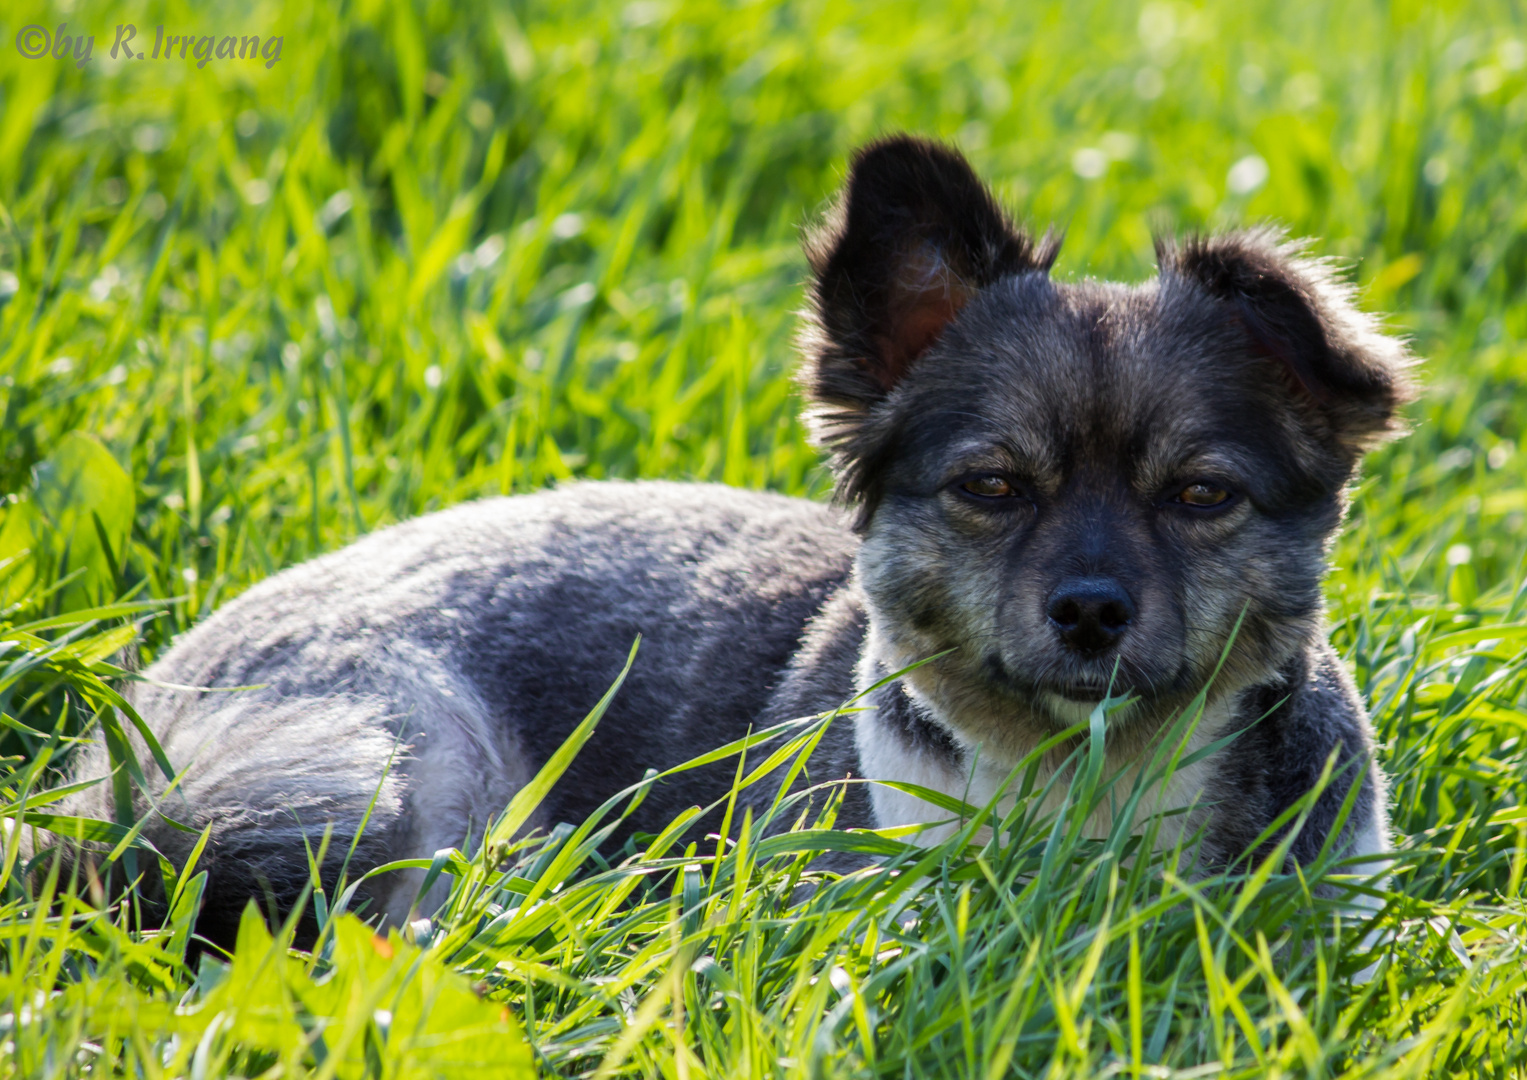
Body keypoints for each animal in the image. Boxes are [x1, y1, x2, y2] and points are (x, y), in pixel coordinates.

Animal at [44, 132, 1404, 947]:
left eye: (1202, 496)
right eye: (993, 486)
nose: (1089, 610)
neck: (1087, 782)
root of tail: (131, 729)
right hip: (398, 752)